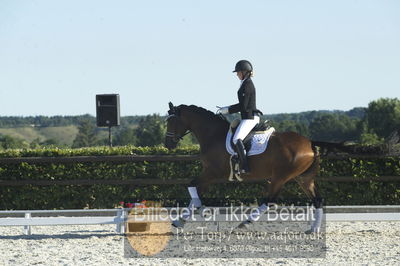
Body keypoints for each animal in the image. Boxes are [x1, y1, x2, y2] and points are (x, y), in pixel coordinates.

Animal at [164, 103, 324, 232]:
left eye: (171, 121)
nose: (167, 144)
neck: (213, 135)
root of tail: (310, 143)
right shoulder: (208, 174)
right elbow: (195, 193)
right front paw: (180, 221)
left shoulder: (212, 173)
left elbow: (192, 187)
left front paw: (205, 214)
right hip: (303, 178)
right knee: (317, 200)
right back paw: (314, 229)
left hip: (280, 177)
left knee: (269, 201)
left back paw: (244, 223)